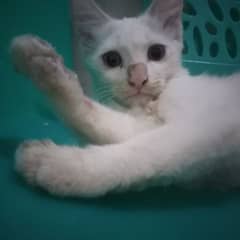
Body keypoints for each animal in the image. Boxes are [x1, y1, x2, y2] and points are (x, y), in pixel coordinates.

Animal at [10, 0, 240, 198]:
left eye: (156, 52)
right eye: (112, 59)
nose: (138, 79)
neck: (152, 105)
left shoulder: (205, 127)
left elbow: (141, 152)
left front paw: (55, 164)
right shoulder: (149, 126)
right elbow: (99, 118)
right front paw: (43, 66)